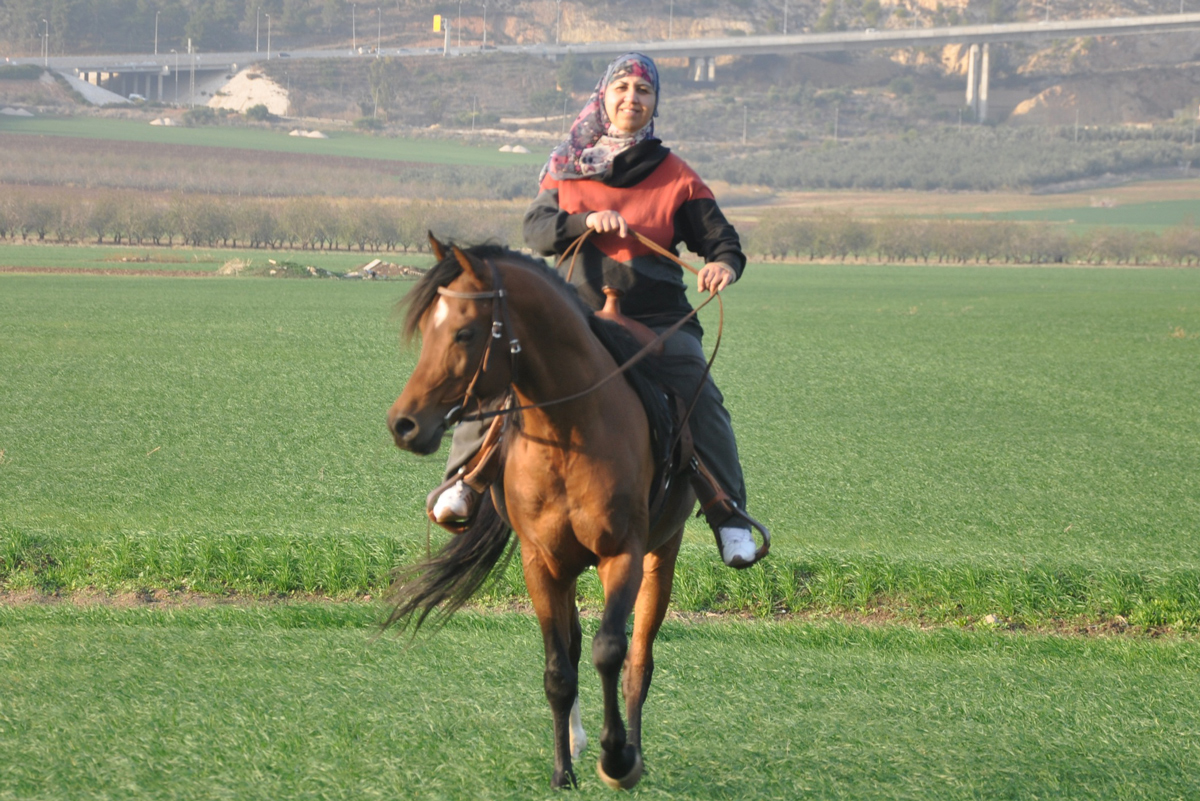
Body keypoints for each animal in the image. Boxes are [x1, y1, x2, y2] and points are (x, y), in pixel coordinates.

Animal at [386, 237, 696, 786]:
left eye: (464, 331)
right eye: (426, 329)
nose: (403, 424)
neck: (570, 430)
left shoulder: (624, 554)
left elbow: (611, 650)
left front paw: (618, 758)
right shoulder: (542, 562)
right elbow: (558, 670)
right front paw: (562, 771)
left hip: (663, 552)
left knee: (639, 659)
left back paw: (631, 752)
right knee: (573, 647)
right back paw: (574, 742)